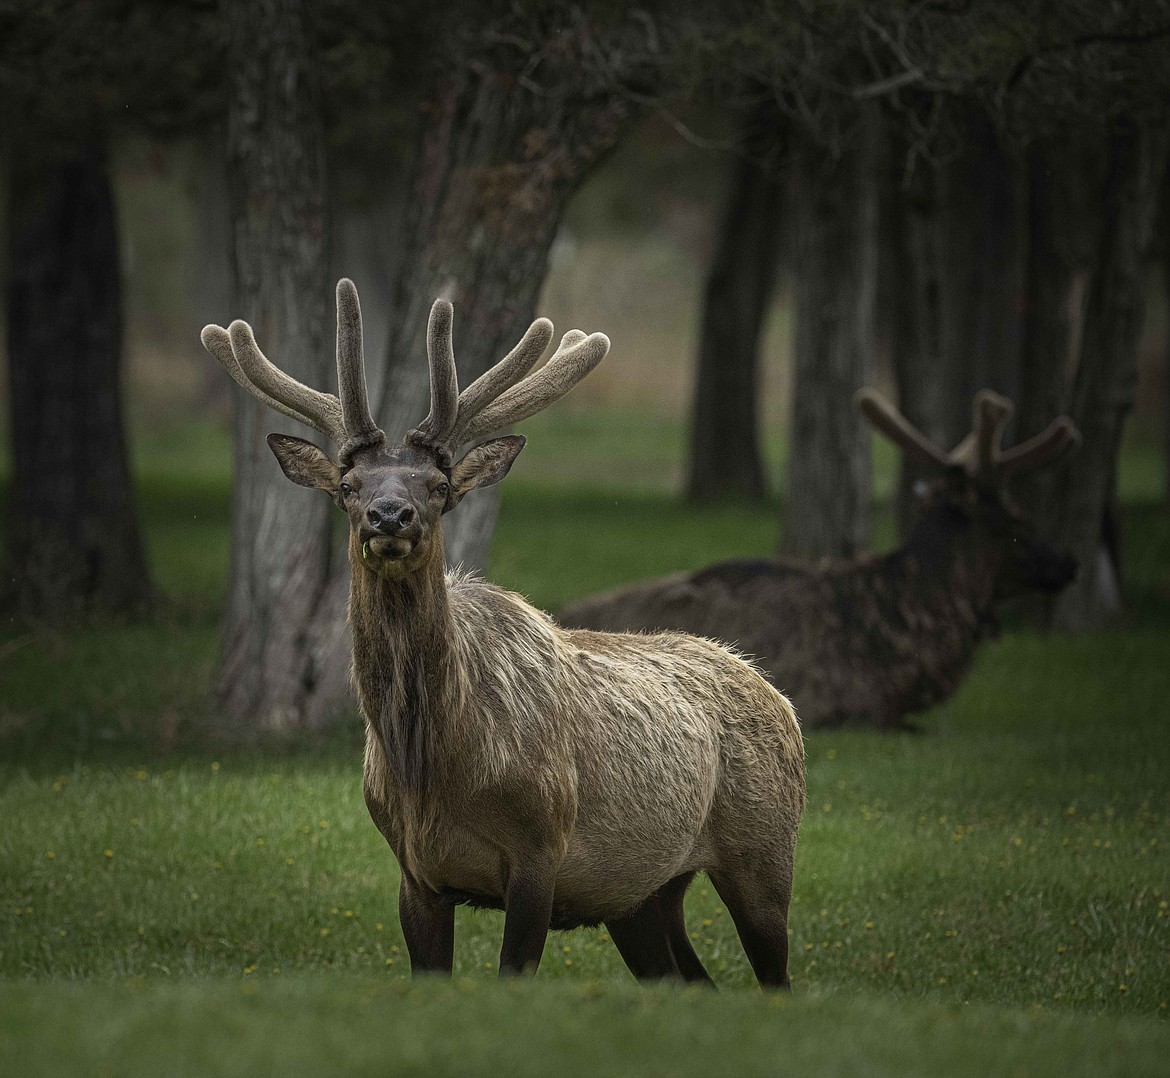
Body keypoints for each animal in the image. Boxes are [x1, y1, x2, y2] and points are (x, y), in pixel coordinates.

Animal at [203, 282, 804, 987]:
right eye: (348, 486)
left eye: (438, 485)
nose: (389, 515)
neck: (435, 772)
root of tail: (778, 696)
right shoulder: (415, 873)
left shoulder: (543, 847)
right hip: (642, 895)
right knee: (694, 981)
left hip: (765, 850)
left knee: (774, 978)